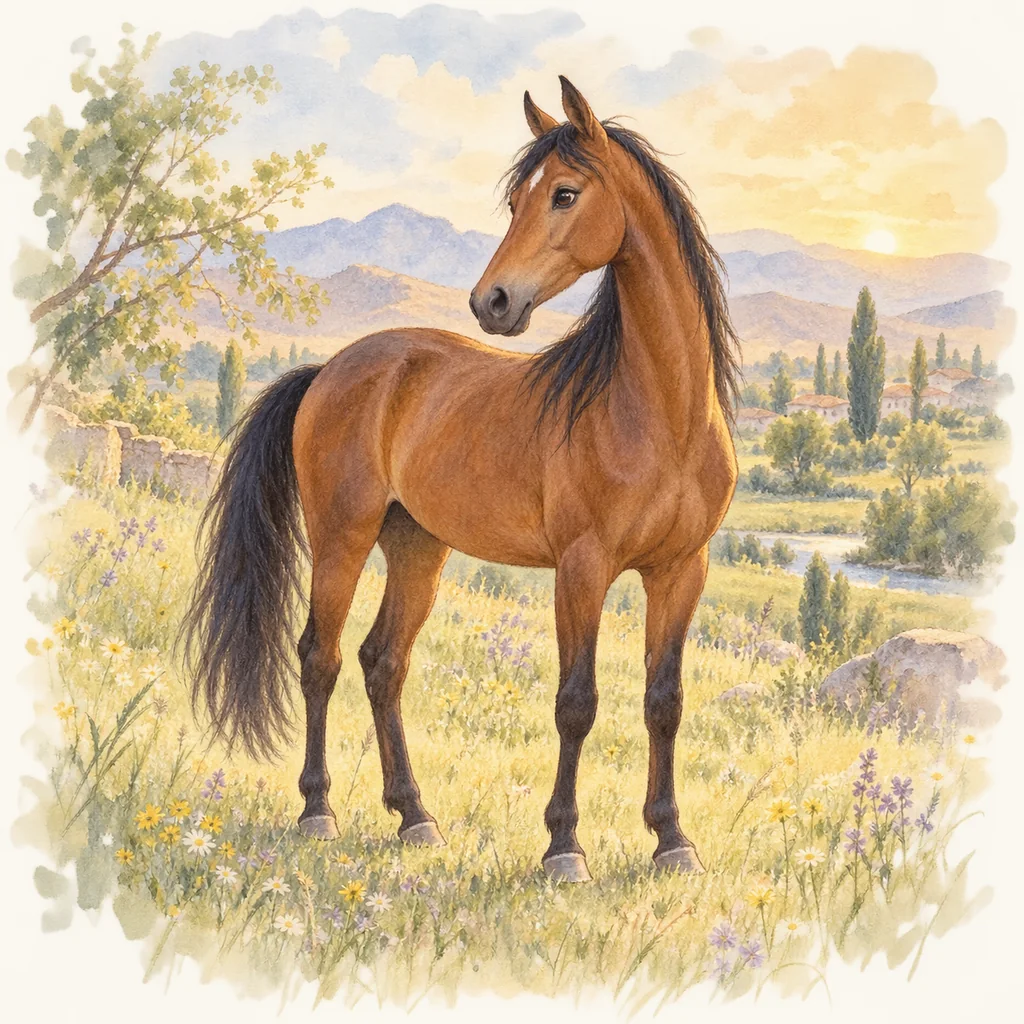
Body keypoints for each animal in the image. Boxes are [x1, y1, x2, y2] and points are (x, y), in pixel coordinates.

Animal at [181, 76, 741, 882]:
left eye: (565, 194)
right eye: (517, 201)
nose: (492, 302)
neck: (658, 412)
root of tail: (332, 368)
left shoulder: (680, 571)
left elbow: (663, 701)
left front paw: (672, 841)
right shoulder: (582, 569)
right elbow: (577, 703)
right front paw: (564, 848)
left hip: (418, 547)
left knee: (383, 663)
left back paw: (414, 816)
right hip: (341, 539)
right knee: (318, 658)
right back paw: (318, 811)